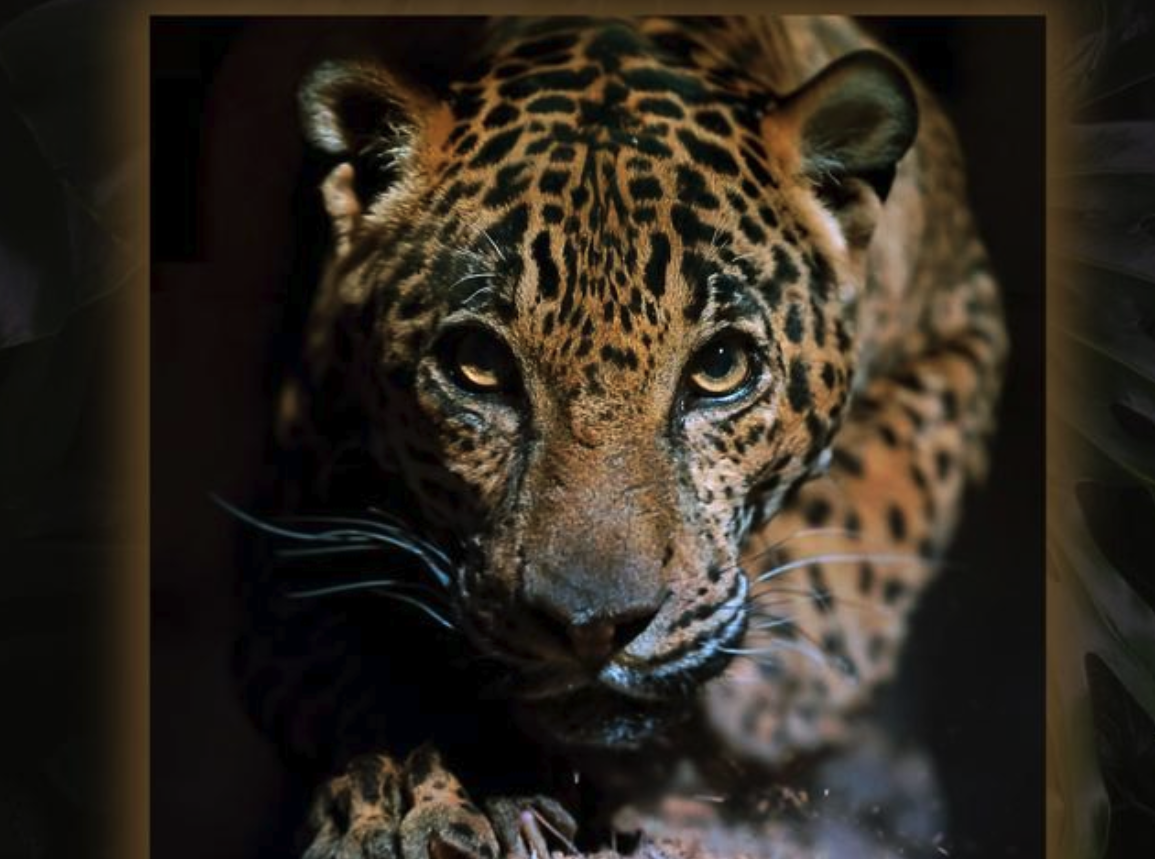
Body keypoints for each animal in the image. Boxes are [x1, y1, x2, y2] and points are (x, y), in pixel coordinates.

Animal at [233, 15, 1007, 859]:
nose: (592, 628)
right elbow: (354, 667)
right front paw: (410, 793)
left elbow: (876, 504)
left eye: (720, 367)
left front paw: (775, 691)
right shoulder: (287, 524)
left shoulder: (965, 320)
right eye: (477, 366)